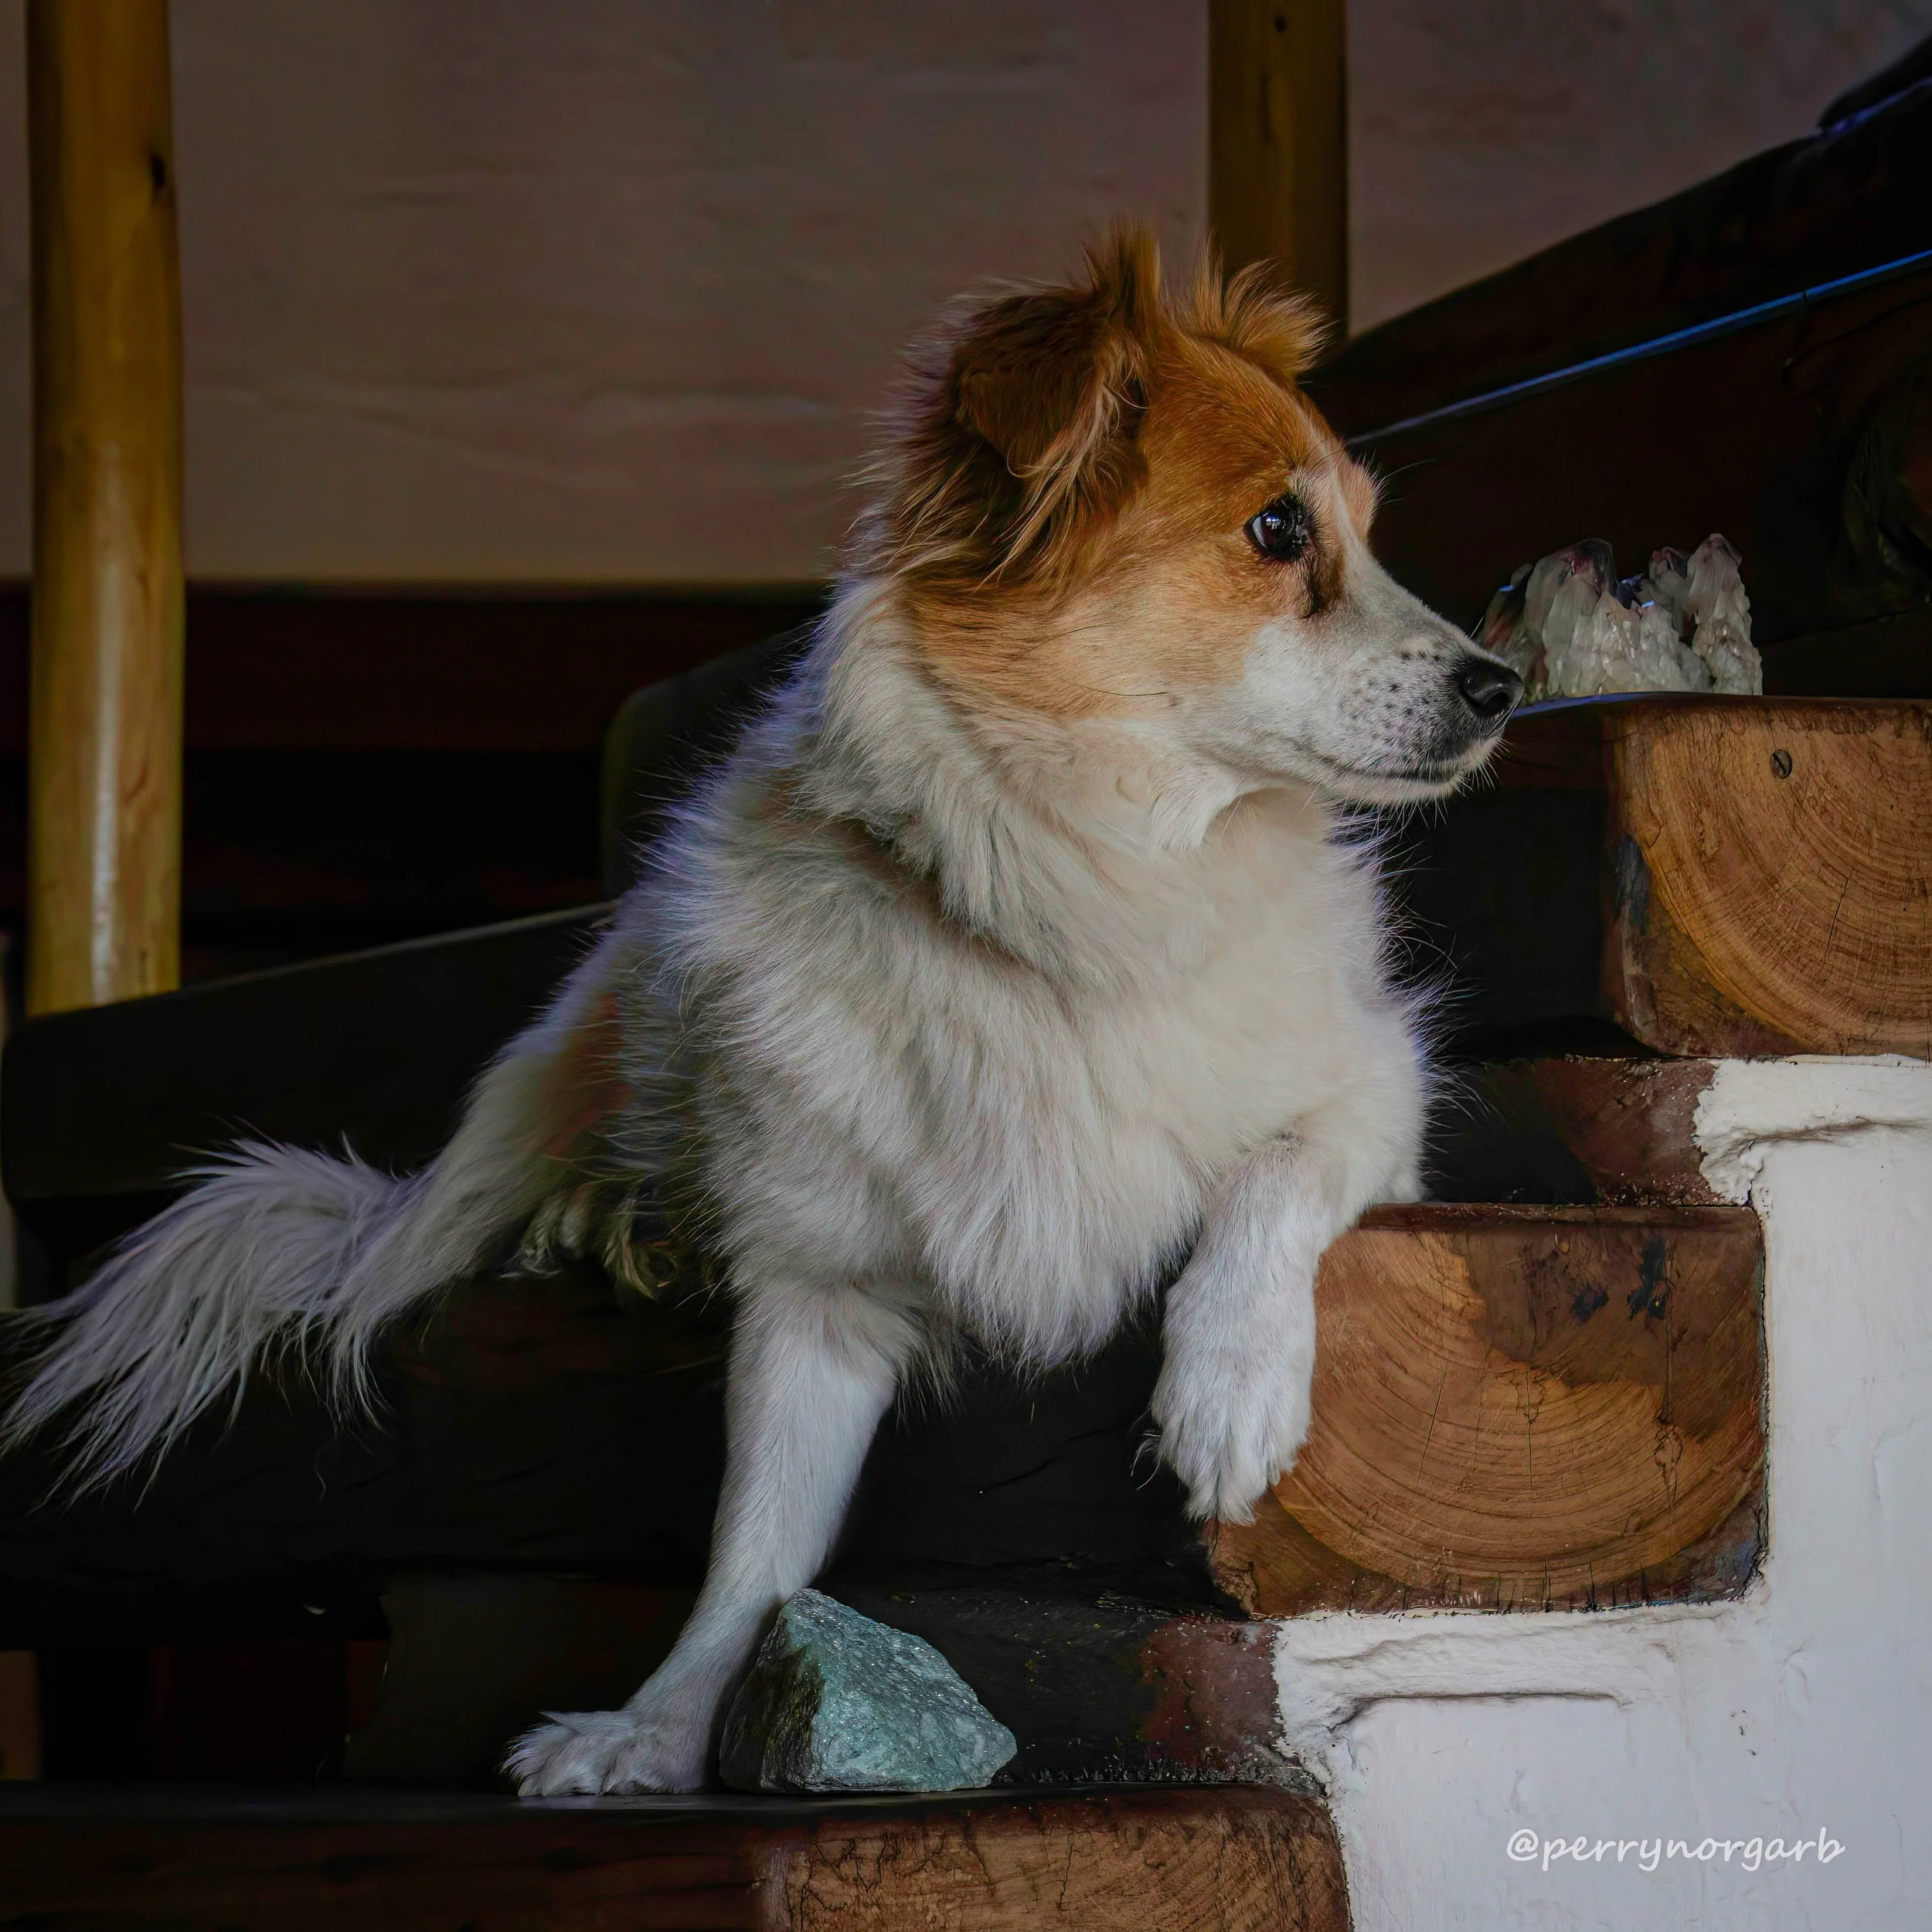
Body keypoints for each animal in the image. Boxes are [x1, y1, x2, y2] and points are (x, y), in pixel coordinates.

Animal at [6, 227, 1520, 1794]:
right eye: (1279, 532)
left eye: (1363, 529)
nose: (1507, 683)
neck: (1080, 898)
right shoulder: (817, 1300)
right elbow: (752, 1548)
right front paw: (661, 1725)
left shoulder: (1379, 1088)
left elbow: (1273, 1175)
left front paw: (1229, 1383)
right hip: (587, 1018)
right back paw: (595, 1224)